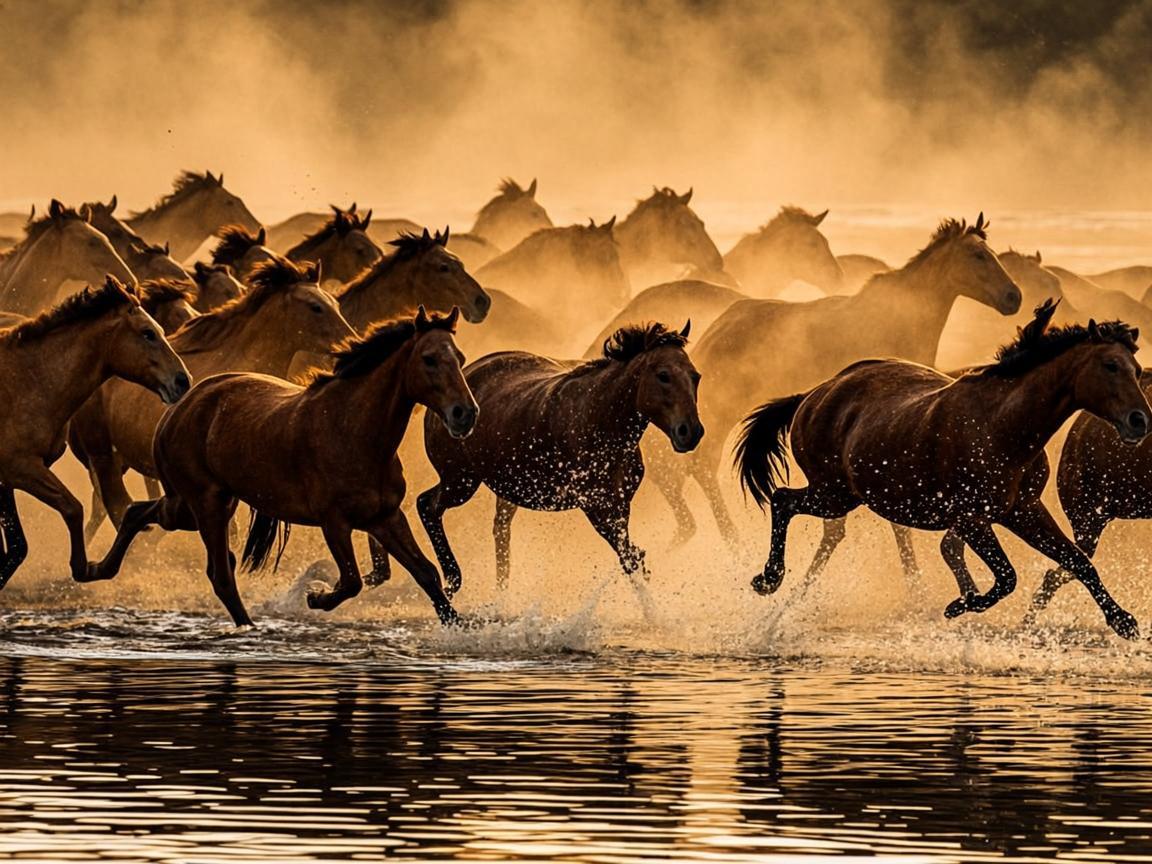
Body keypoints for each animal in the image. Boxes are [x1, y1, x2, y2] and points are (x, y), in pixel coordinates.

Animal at [0, 277, 189, 588]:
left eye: (161, 331)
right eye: (148, 333)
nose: (183, 381)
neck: (29, 380)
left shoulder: (9, 478)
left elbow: (17, 547)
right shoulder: (21, 468)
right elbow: (72, 508)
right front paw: (86, 567)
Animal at [85, 307, 476, 629]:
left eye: (459, 357)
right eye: (428, 359)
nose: (465, 413)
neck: (353, 431)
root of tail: (179, 407)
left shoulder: (385, 517)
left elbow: (426, 573)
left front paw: (459, 626)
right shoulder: (334, 521)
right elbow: (350, 580)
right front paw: (315, 597)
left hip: (212, 503)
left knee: (139, 513)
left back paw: (97, 568)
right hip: (201, 504)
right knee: (218, 573)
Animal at [418, 322, 701, 593]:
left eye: (695, 376)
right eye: (663, 375)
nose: (691, 432)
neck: (600, 419)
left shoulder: (620, 504)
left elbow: (633, 558)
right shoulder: (596, 507)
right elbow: (630, 558)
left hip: (502, 487)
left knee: (499, 530)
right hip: (461, 481)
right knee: (427, 505)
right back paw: (452, 579)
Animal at [649, 214, 1022, 547]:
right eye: (977, 255)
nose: (1014, 297)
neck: (904, 317)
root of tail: (717, 327)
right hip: (726, 405)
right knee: (702, 463)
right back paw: (731, 539)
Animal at [736, 299, 1149, 640]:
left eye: (1136, 369)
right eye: (1110, 365)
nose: (1140, 421)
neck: (1004, 427)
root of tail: (813, 394)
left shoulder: (1024, 510)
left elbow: (1077, 562)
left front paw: (1124, 621)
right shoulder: (972, 518)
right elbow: (1007, 577)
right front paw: (959, 605)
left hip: (839, 495)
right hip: (833, 493)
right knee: (782, 499)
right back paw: (767, 579)